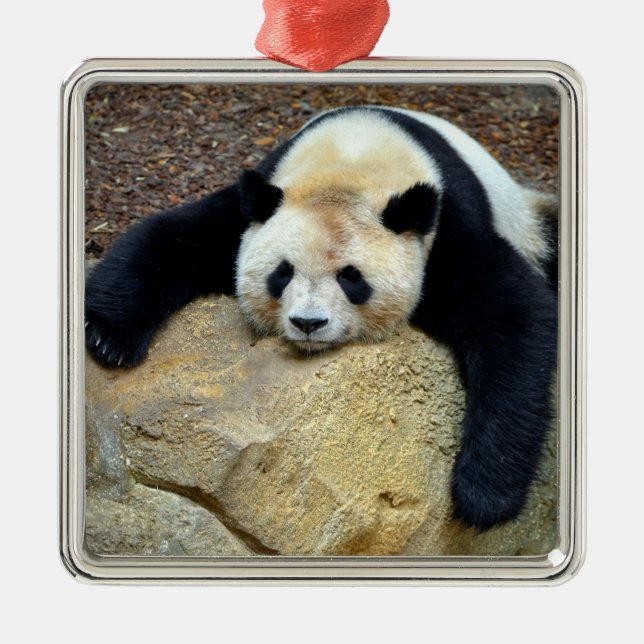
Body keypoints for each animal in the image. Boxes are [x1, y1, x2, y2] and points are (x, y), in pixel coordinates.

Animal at [85, 106, 558, 530]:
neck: (353, 158)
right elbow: (172, 238)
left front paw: (484, 495)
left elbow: (513, 316)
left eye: (352, 277)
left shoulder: (444, 230)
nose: (308, 323)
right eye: (282, 272)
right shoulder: (256, 206)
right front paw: (109, 337)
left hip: (528, 221)